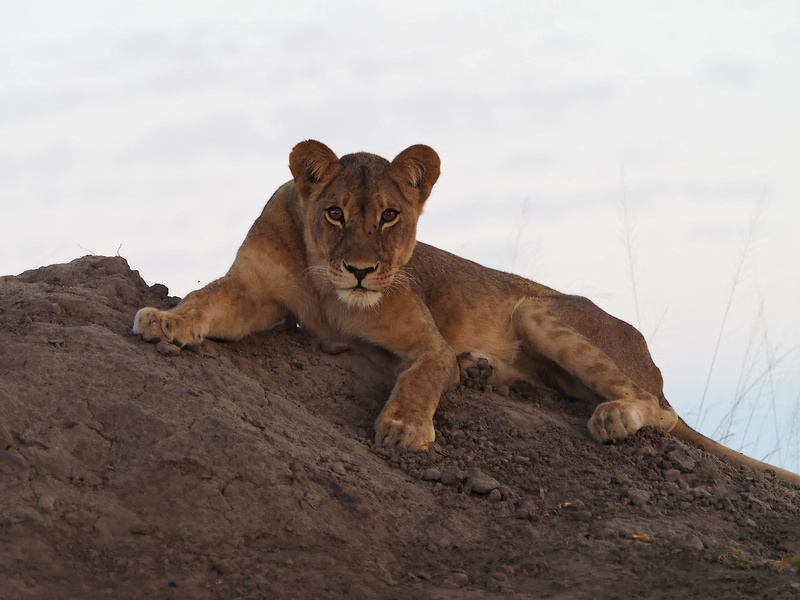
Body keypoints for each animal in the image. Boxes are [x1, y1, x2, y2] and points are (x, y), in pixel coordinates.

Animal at [133, 140, 799, 485]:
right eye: (334, 213)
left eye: (390, 216)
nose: (361, 270)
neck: (327, 287)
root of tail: (655, 365)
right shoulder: (255, 293)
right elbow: (205, 299)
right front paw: (165, 320)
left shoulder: (425, 339)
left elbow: (425, 375)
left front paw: (404, 428)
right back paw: (483, 369)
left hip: (540, 311)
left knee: (656, 411)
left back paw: (612, 417)